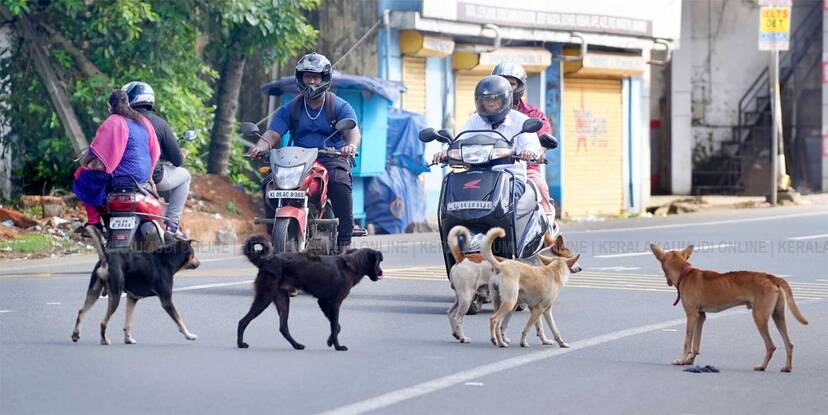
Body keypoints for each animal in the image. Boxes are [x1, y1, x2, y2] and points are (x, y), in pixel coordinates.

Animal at [71, 226, 201, 346]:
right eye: (193, 254)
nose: (199, 263)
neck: (167, 261)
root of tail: (106, 257)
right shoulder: (166, 301)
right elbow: (180, 321)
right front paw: (189, 335)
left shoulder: (132, 299)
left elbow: (128, 323)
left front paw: (128, 339)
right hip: (115, 295)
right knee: (103, 321)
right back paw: (104, 340)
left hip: (94, 292)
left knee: (81, 311)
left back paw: (76, 334)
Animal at [238, 237, 384, 352]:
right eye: (378, 262)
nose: (381, 273)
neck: (352, 265)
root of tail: (265, 261)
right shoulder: (334, 303)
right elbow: (335, 325)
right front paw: (338, 346)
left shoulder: (324, 302)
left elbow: (336, 326)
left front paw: (330, 341)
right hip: (265, 297)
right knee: (242, 321)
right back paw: (240, 344)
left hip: (282, 299)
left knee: (283, 327)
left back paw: (297, 345)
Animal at [648, 244, 808, 374]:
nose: (668, 283)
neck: (685, 273)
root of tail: (771, 277)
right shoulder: (701, 316)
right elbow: (696, 344)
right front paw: (690, 360)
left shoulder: (692, 315)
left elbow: (687, 342)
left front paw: (681, 360)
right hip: (778, 316)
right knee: (789, 344)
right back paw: (787, 367)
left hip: (759, 317)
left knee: (771, 346)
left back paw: (762, 366)